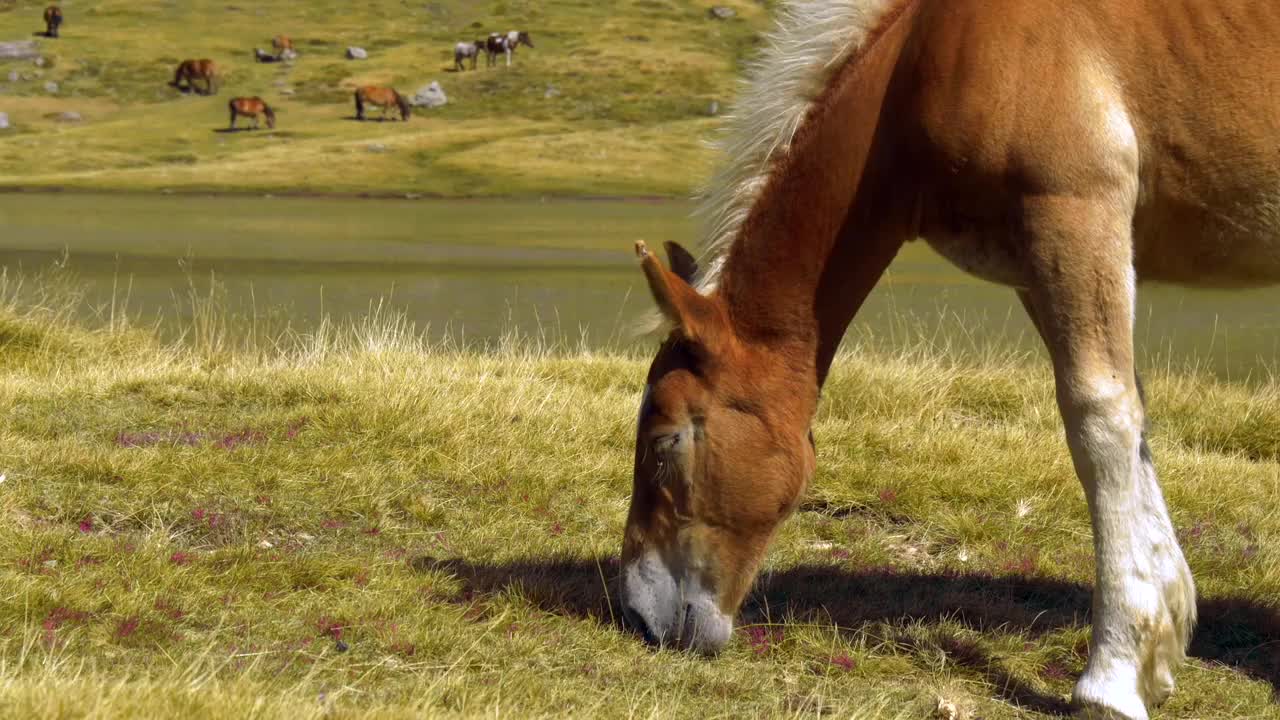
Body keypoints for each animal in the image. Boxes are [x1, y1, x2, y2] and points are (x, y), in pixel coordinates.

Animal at [619, 1, 1280, 717]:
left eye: (664, 442)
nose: (637, 616)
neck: (929, 56)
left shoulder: (1074, 217)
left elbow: (1100, 423)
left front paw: (1110, 676)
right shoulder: (1037, 265)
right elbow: (1132, 421)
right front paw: (1157, 647)